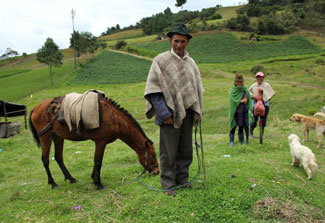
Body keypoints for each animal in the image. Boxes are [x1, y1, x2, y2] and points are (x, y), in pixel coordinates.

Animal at [29, 96, 159, 190]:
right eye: (153, 155)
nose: (157, 172)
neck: (113, 117)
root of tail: (35, 108)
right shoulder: (101, 142)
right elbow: (98, 162)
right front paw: (98, 184)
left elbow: (96, 161)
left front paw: (93, 179)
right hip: (46, 137)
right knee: (45, 160)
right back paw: (53, 183)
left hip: (58, 137)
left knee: (58, 157)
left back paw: (71, 178)